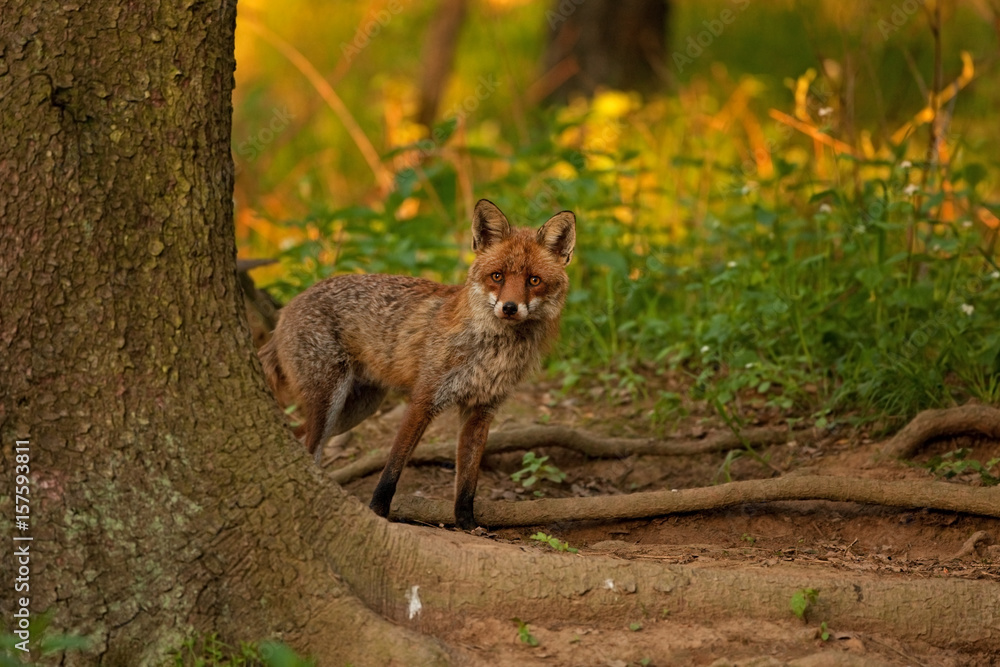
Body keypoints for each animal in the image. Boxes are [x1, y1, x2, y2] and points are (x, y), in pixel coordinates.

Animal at [258, 199, 576, 529]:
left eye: (533, 281)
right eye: (497, 276)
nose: (510, 308)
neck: (492, 351)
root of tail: (287, 307)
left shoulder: (481, 410)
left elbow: (467, 480)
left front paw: (466, 523)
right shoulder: (424, 399)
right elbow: (393, 467)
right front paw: (377, 511)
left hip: (354, 411)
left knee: (301, 440)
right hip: (329, 403)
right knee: (309, 448)